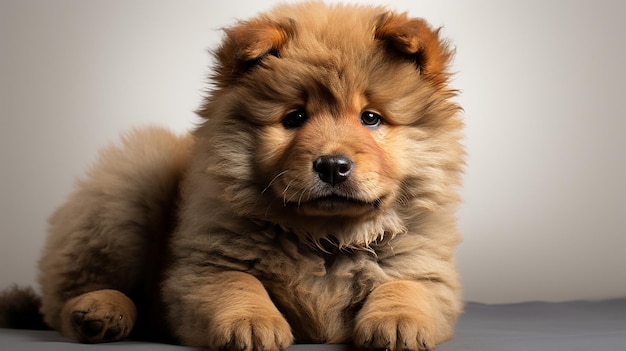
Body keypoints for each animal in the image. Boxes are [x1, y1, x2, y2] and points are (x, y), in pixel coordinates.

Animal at [0, 2, 460, 351]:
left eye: (371, 118)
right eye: (294, 118)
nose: (332, 165)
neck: (325, 239)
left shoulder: (426, 268)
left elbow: (405, 287)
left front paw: (397, 323)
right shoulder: (202, 267)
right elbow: (237, 284)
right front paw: (251, 325)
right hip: (126, 191)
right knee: (66, 297)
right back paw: (100, 312)